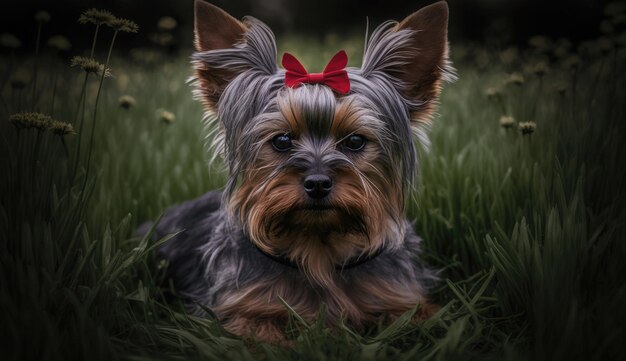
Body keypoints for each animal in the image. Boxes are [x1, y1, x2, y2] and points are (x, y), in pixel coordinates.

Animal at [149, 0, 456, 344]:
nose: (318, 183)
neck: (318, 248)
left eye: (355, 141)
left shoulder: (401, 296)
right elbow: (257, 334)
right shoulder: (239, 308)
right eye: (282, 140)